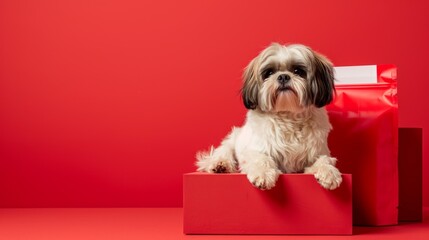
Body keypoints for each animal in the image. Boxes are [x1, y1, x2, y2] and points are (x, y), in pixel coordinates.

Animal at [196, 42, 342, 190]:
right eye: (269, 73)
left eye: (298, 71)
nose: (283, 76)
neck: (288, 115)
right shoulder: (254, 151)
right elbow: (261, 158)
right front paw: (263, 174)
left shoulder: (318, 152)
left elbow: (324, 160)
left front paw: (329, 172)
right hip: (231, 141)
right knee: (223, 152)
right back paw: (220, 165)